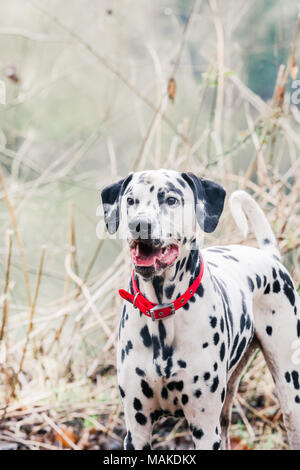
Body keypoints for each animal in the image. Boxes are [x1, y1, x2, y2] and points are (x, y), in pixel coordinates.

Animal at [101, 170, 300, 452]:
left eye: (171, 199)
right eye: (130, 200)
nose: (139, 224)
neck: (163, 313)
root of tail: (269, 257)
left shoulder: (204, 430)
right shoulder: (137, 430)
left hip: (291, 393)